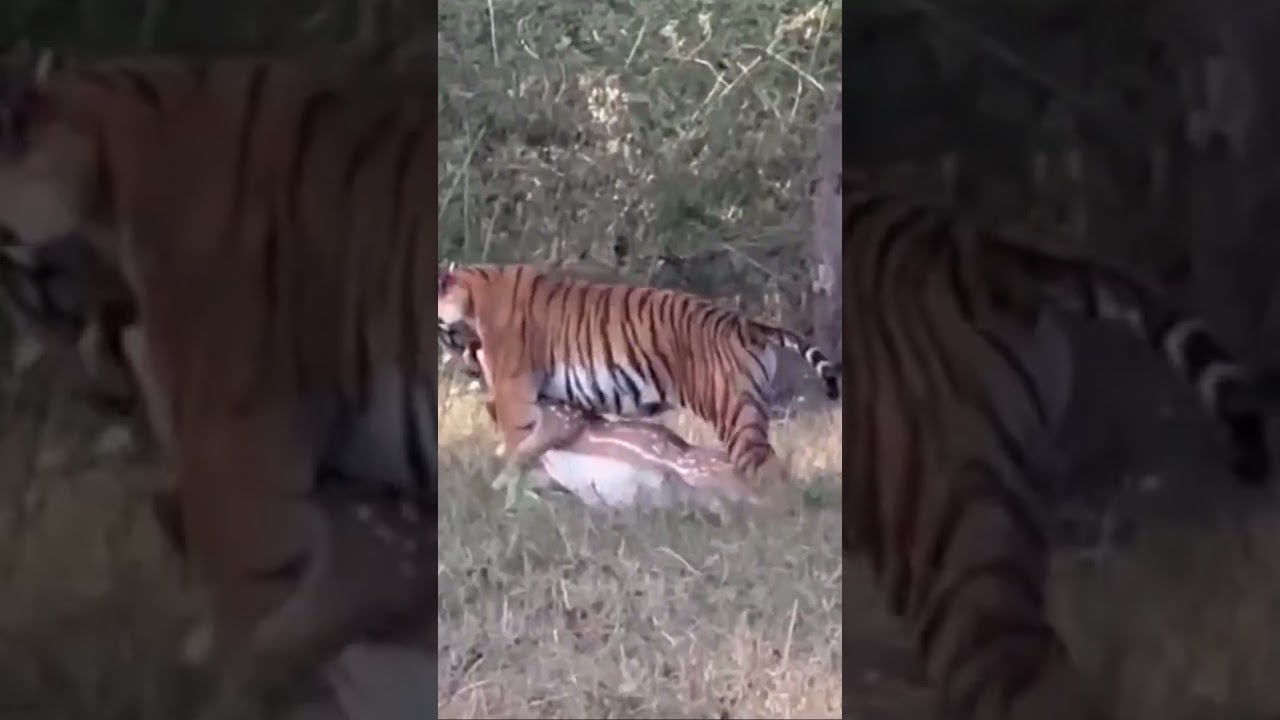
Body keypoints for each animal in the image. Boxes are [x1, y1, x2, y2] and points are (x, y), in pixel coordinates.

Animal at [436, 262, 841, 491]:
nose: (464, 365)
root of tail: (746, 324)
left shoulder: (514, 390)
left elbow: (518, 443)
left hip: (734, 413)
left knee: (767, 472)